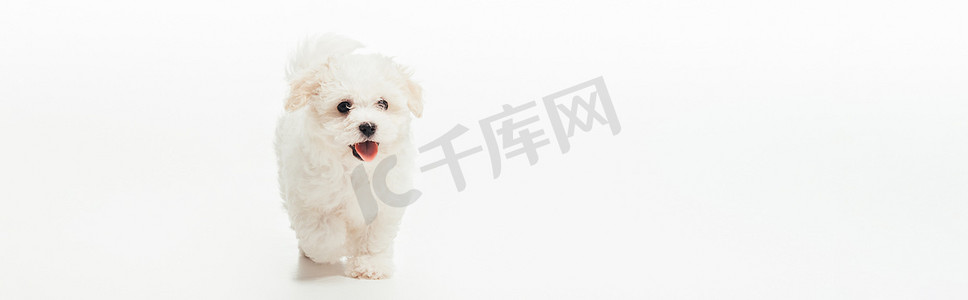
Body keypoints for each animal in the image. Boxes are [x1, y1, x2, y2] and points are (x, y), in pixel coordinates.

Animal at [274, 34, 422, 280]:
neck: (355, 168)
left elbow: (374, 239)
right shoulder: (310, 201)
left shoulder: (383, 205)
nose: (368, 126)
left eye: (383, 103)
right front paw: (334, 250)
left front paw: (369, 265)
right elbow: (324, 234)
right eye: (344, 106)